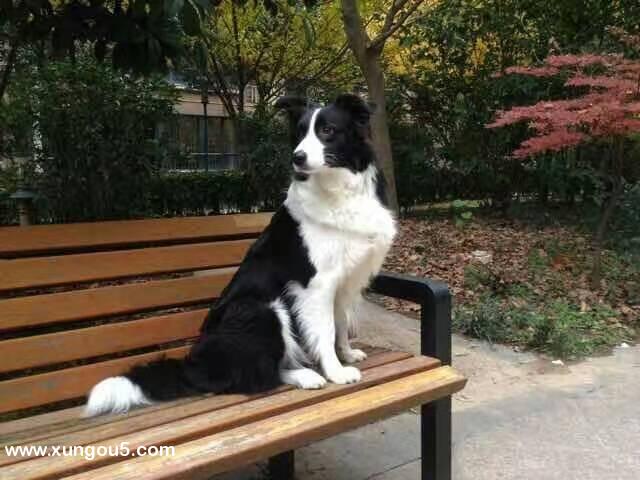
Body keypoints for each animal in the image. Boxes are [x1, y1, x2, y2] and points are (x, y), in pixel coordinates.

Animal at [84, 93, 397, 417]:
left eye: (328, 130)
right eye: (299, 133)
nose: (296, 157)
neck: (337, 188)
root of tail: (196, 363)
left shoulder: (348, 280)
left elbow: (341, 323)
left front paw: (346, 354)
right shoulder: (316, 284)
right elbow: (325, 329)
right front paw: (335, 371)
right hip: (262, 308)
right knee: (256, 375)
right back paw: (306, 376)